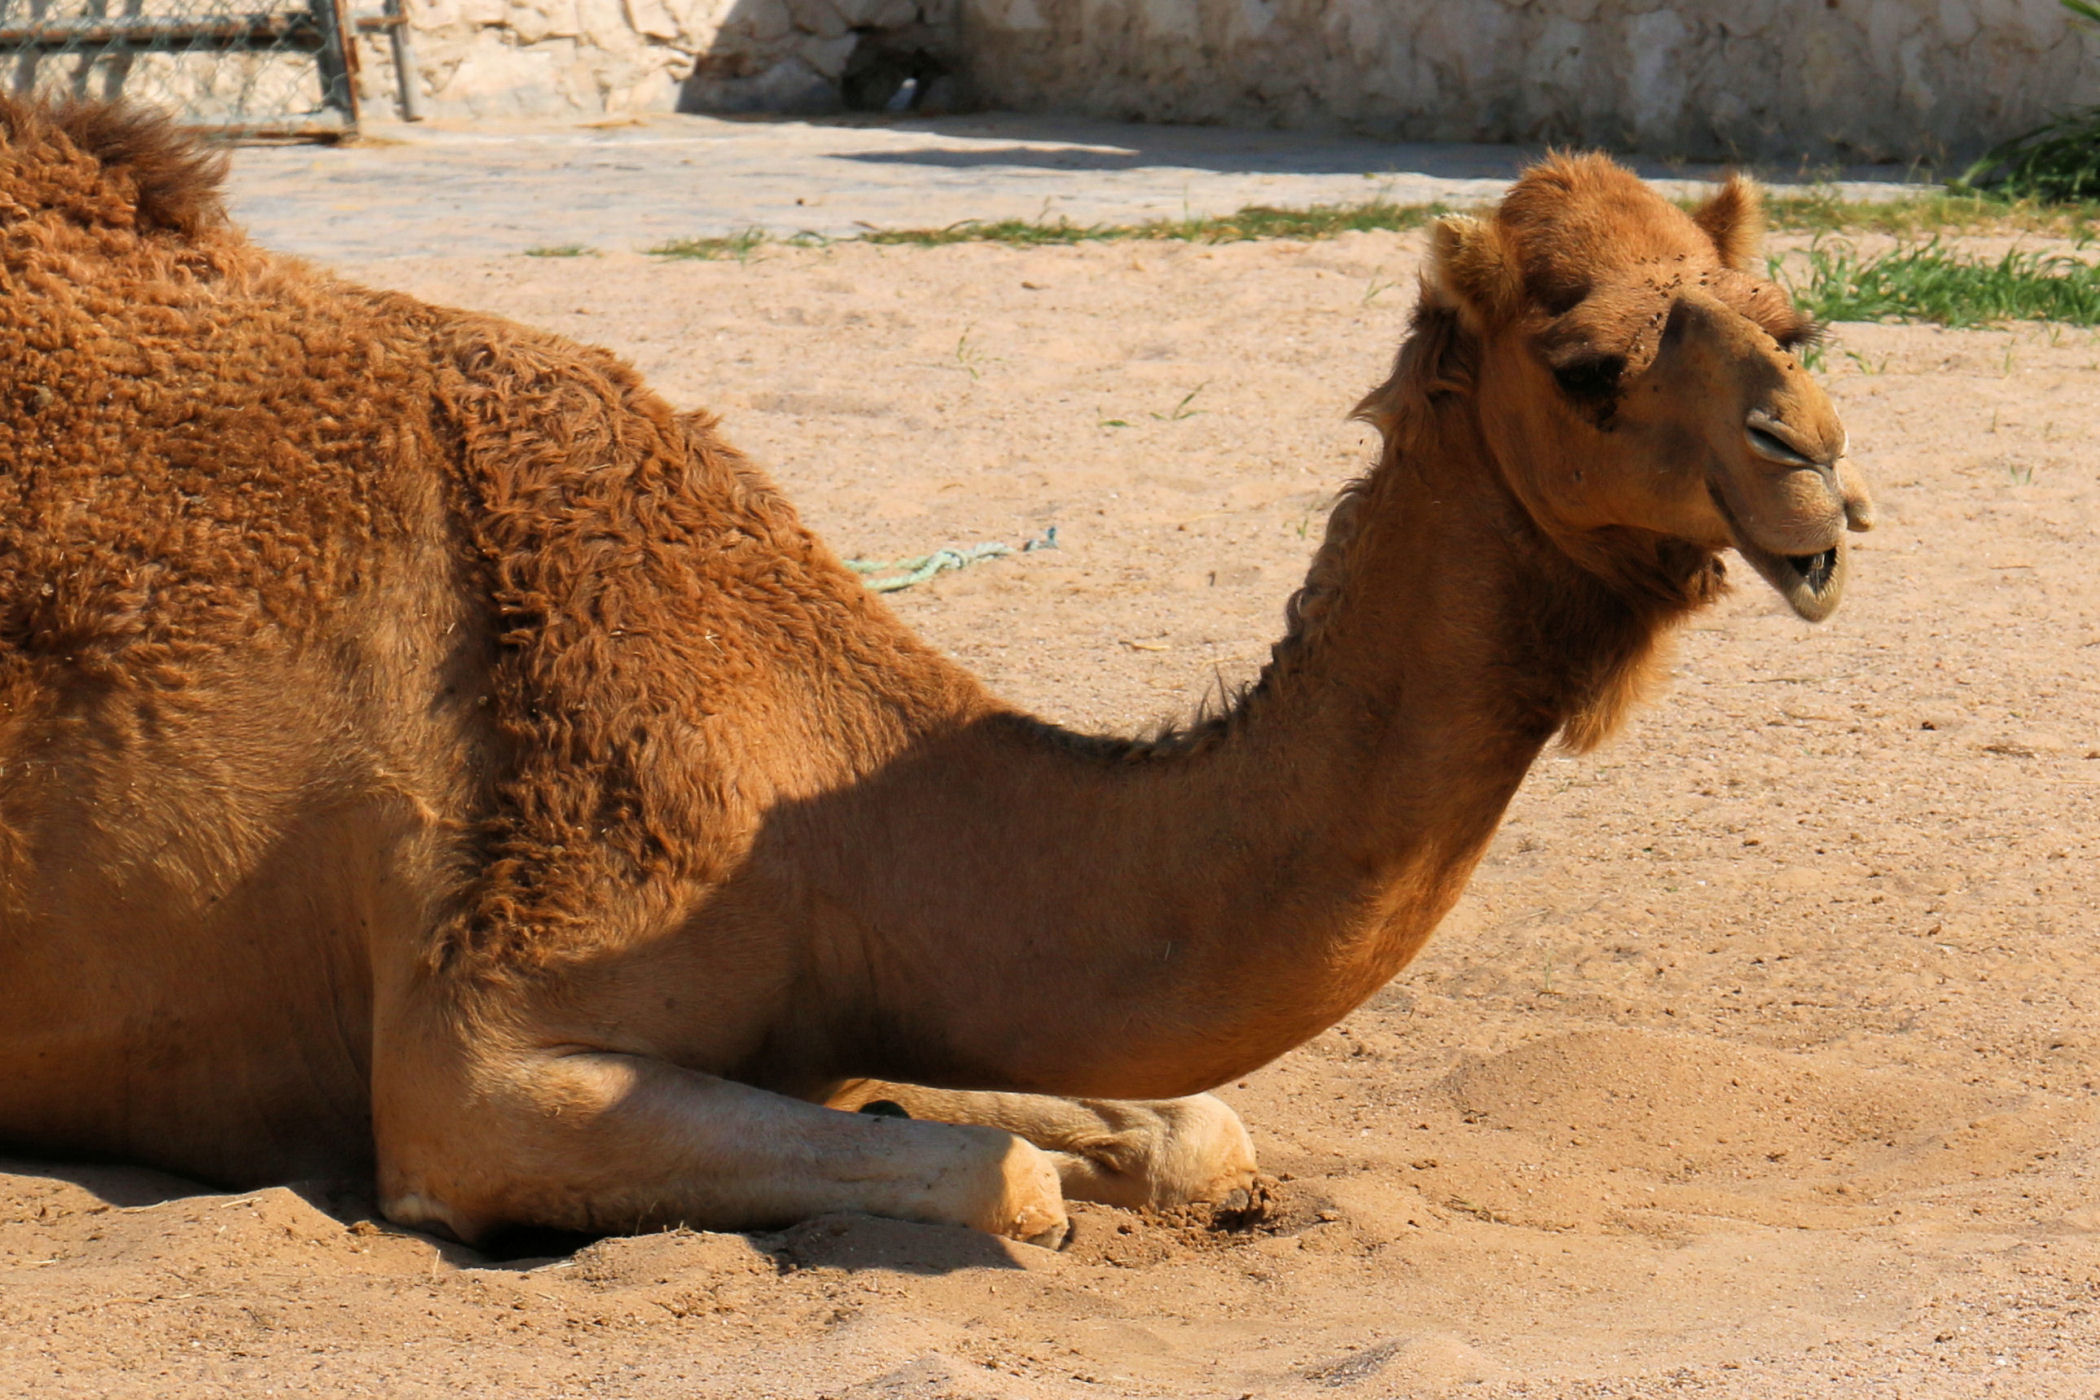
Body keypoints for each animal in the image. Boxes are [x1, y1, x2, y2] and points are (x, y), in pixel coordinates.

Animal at [0, 98, 1873, 1248]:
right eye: (1587, 365)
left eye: (1793, 316)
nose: (1818, 469)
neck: (824, 804)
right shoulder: (478, 1067)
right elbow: (1014, 1183)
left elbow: (1191, 1130)